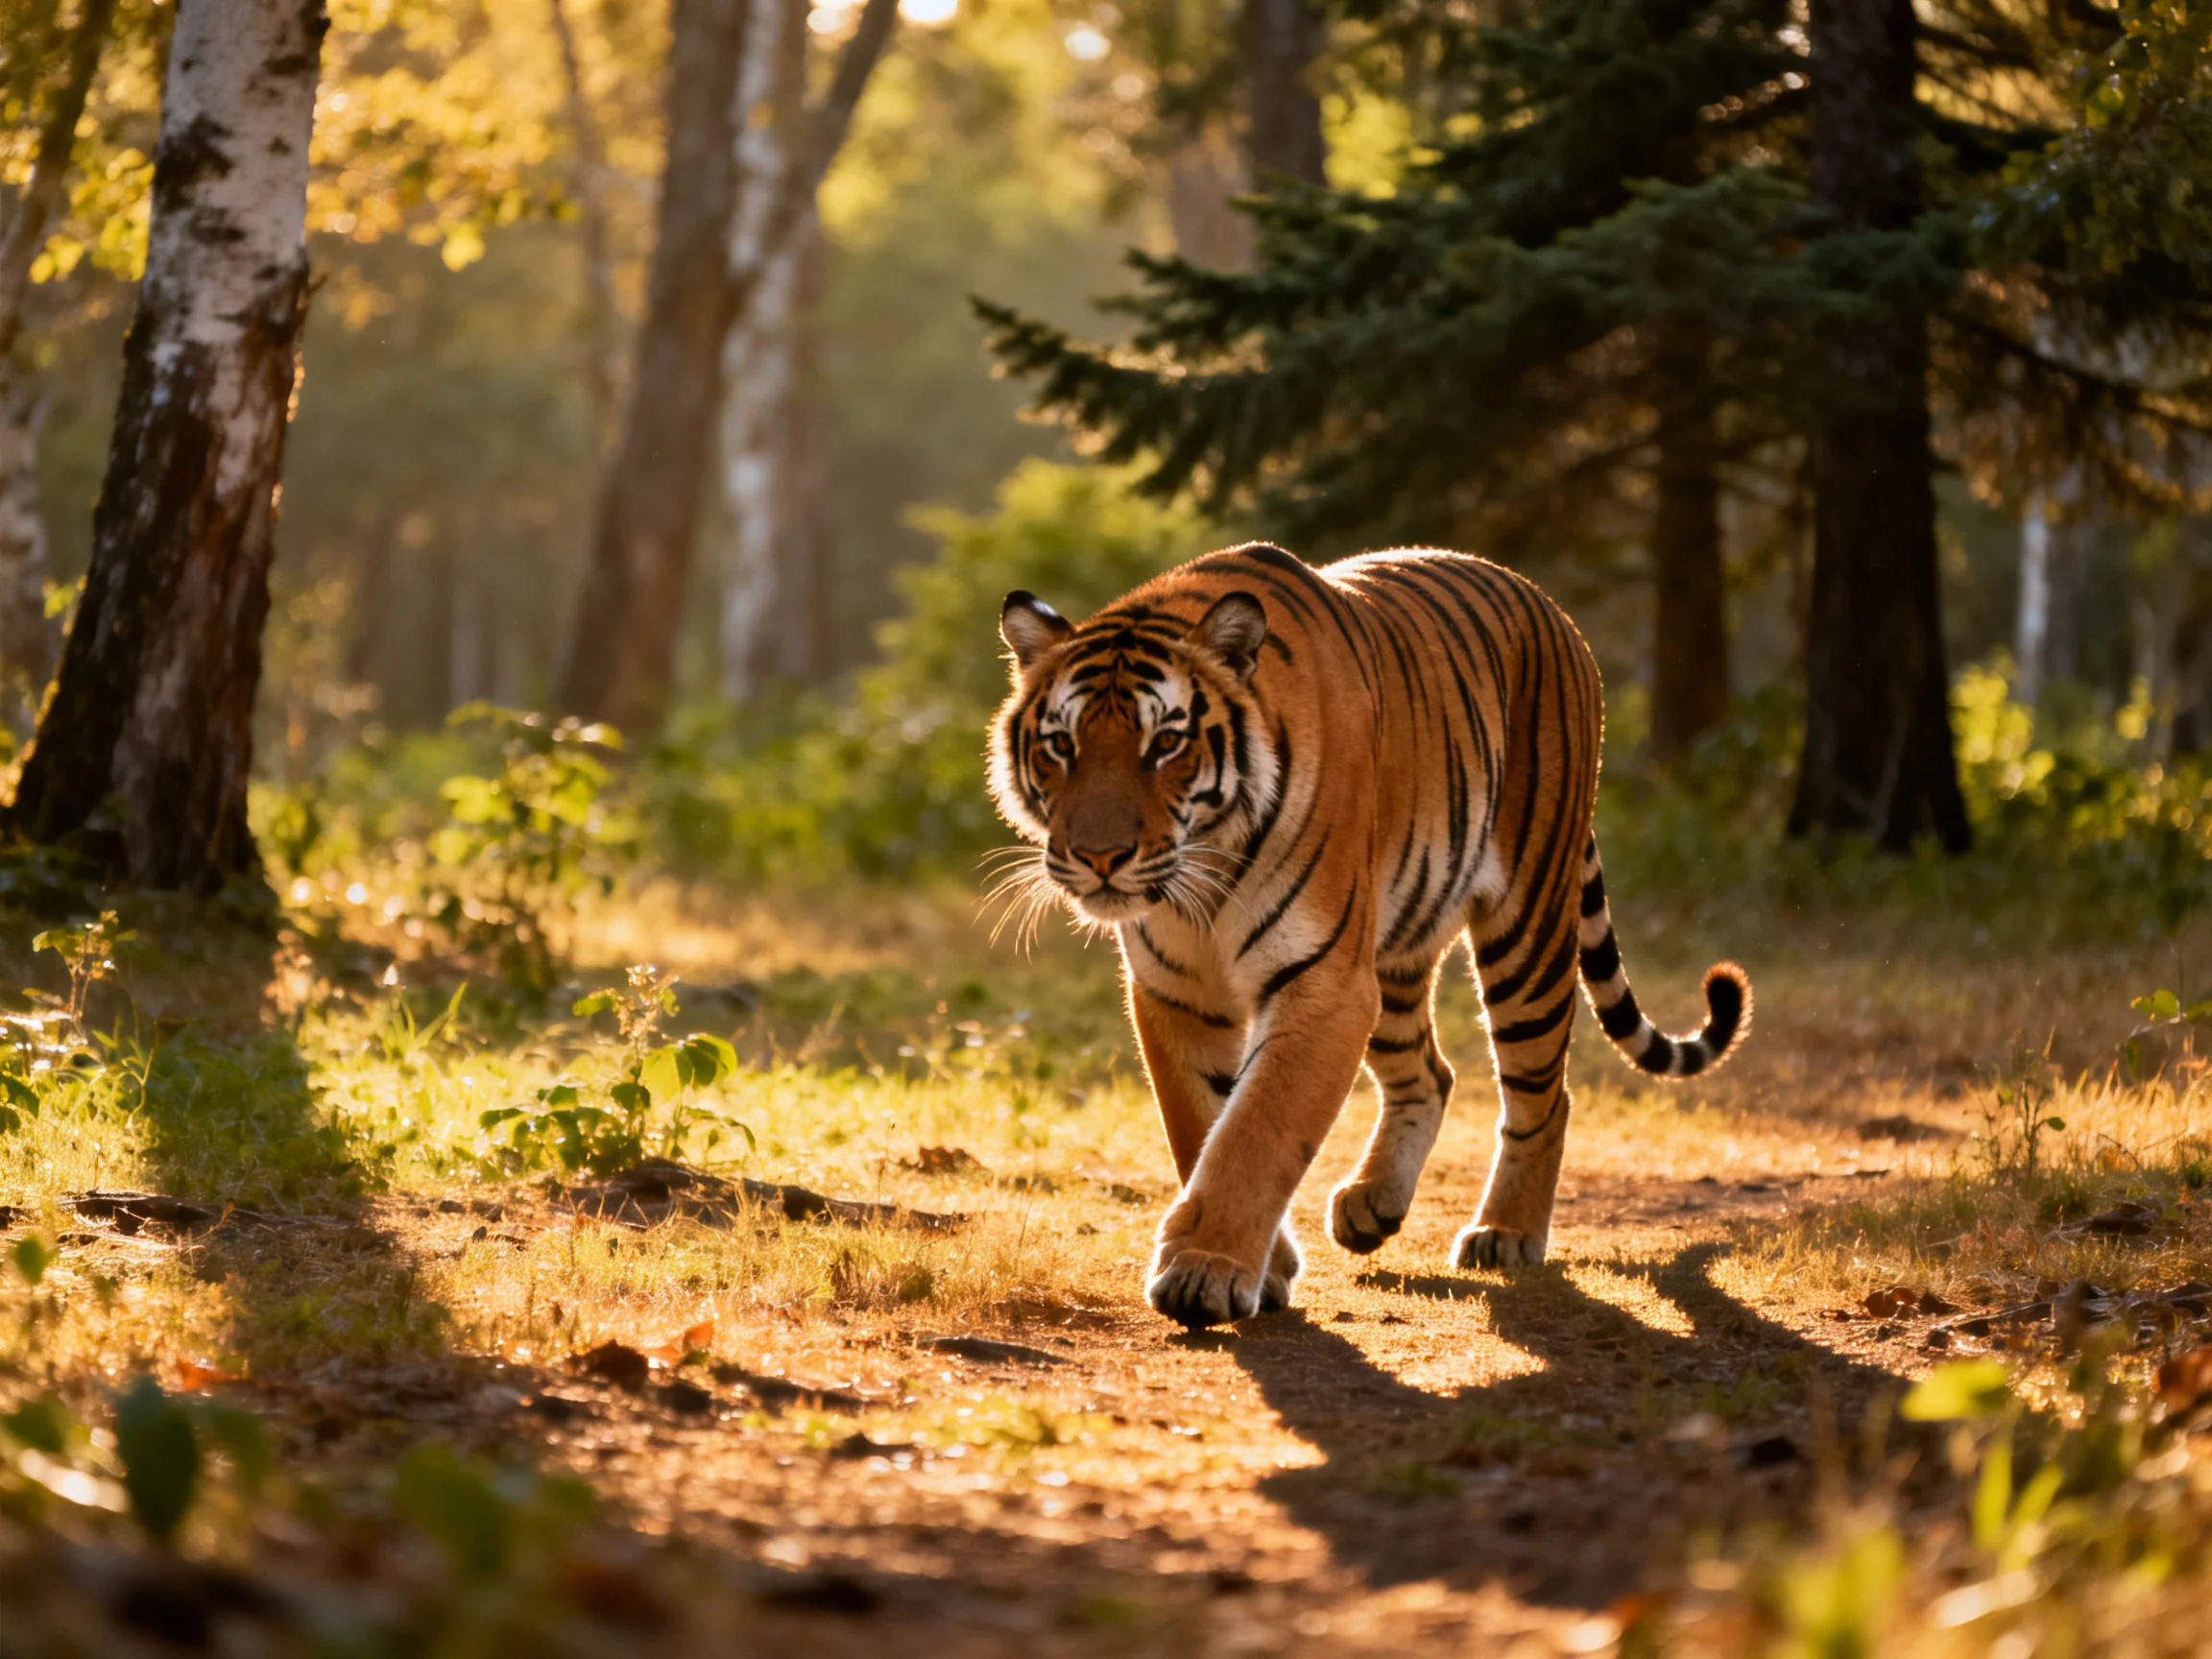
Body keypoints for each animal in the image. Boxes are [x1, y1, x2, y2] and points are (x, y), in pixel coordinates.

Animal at [986, 543, 1751, 1329]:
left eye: (1166, 742)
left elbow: (1256, 1129)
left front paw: (1205, 1271)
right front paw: (1264, 1266)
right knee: (1431, 1074)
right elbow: (1202, 1124)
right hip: (1391, 961)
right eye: (1061, 745)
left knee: (1543, 1092)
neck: (1204, 880)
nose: (1100, 857)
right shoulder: (1178, 992)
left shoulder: (1322, 981)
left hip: (1527, 928)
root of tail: (1553, 608)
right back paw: (1374, 1206)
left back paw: (1504, 1232)